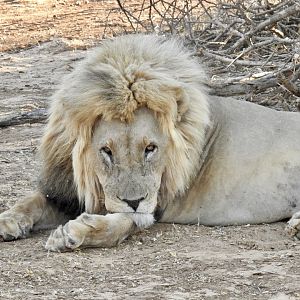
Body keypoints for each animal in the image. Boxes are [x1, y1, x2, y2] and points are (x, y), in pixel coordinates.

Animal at [0, 34, 300, 252]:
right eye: (106, 151)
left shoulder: (155, 203)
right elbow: (31, 200)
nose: (134, 201)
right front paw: (8, 221)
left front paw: (75, 233)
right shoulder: (65, 191)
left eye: (150, 149)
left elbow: (124, 223)